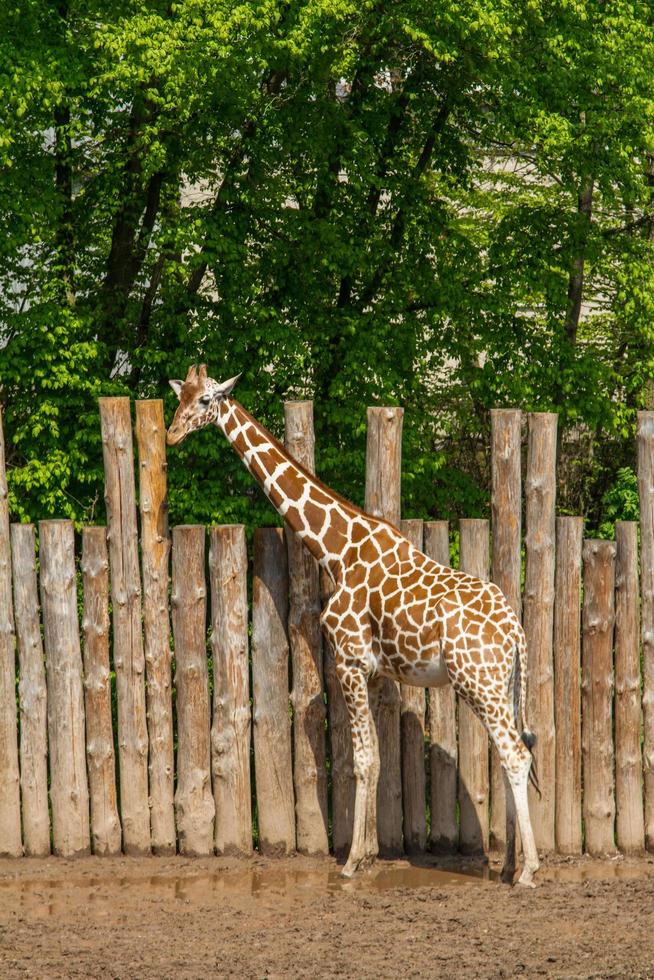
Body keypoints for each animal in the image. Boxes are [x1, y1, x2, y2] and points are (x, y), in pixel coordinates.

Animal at [169, 366, 544, 888]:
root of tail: (517, 633)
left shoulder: (348, 661)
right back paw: (510, 864)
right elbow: (378, 759)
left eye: (205, 400)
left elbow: (361, 760)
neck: (336, 550)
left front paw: (349, 863)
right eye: (178, 398)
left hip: (477, 680)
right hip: (502, 683)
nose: (172, 433)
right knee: (515, 751)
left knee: (515, 754)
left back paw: (528, 870)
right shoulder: (372, 672)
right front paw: (367, 855)